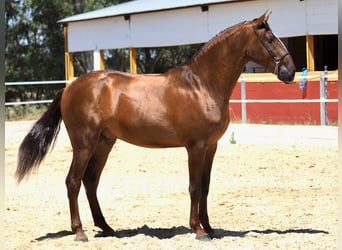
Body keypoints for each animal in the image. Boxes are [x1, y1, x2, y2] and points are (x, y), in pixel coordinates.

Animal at [15, 12, 294, 242]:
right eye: (270, 39)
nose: (290, 71)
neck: (201, 85)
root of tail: (69, 88)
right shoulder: (195, 146)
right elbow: (194, 187)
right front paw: (198, 230)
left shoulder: (211, 147)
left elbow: (205, 187)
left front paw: (210, 228)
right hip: (84, 144)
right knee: (73, 182)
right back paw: (80, 232)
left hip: (104, 142)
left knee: (90, 181)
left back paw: (106, 227)